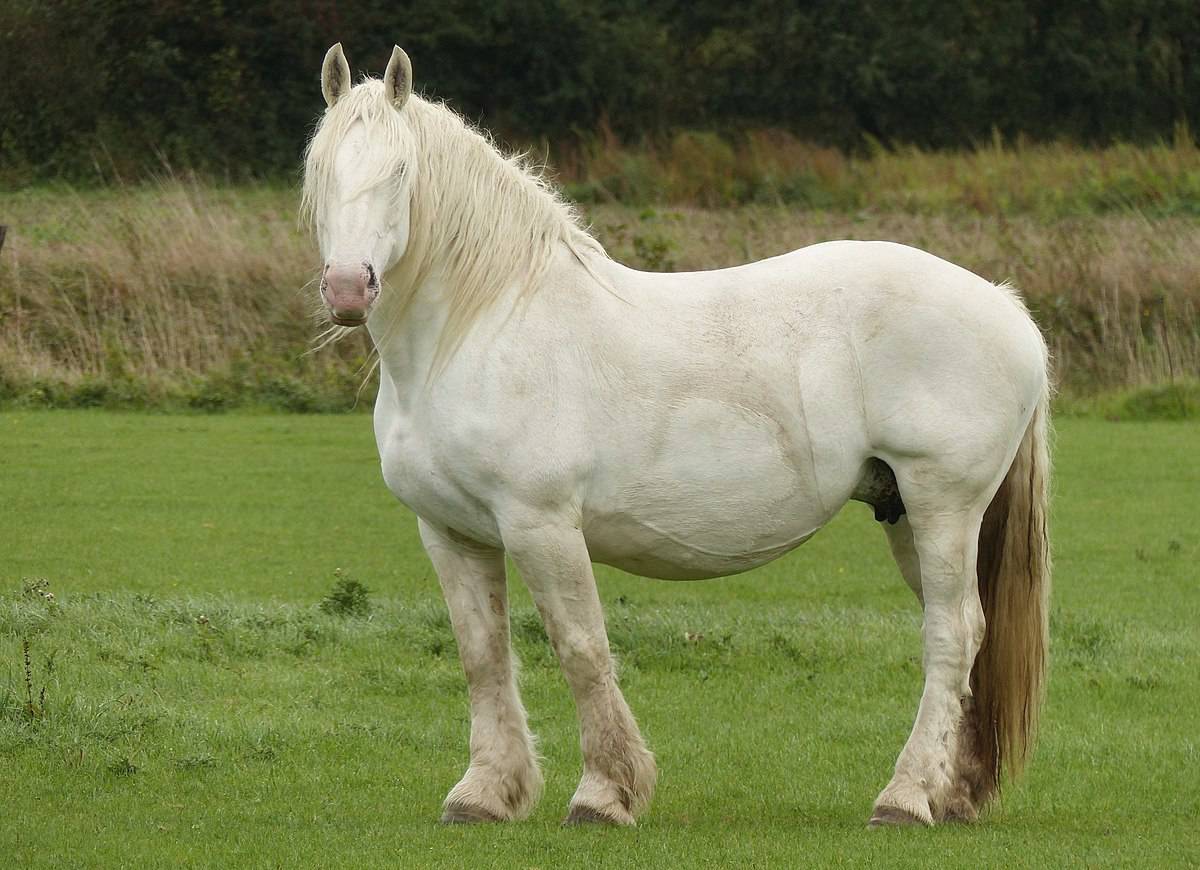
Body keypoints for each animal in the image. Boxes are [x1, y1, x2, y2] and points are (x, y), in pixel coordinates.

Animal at [302, 43, 1051, 828]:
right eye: (320, 171)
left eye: (400, 173)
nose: (348, 288)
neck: (481, 327)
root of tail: (1005, 306)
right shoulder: (450, 531)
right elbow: (482, 654)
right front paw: (485, 792)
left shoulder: (541, 524)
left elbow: (580, 648)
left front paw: (604, 793)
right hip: (904, 511)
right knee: (964, 636)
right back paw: (954, 794)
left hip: (944, 506)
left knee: (952, 633)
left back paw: (905, 798)